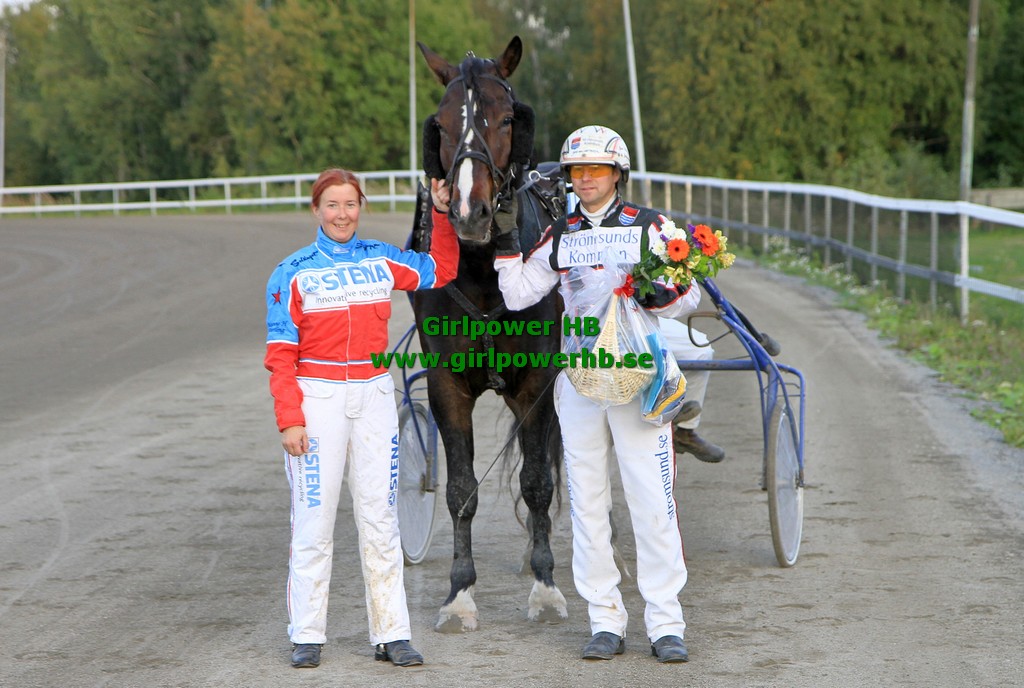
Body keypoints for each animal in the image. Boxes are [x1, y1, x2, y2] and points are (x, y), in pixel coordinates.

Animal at [410, 36, 568, 632]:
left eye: (506, 118)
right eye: (441, 123)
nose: (469, 212)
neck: (483, 270)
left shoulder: (537, 383)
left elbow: (538, 481)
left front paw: (546, 587)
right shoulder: (446, 385)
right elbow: (460, 490)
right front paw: (459, 593)